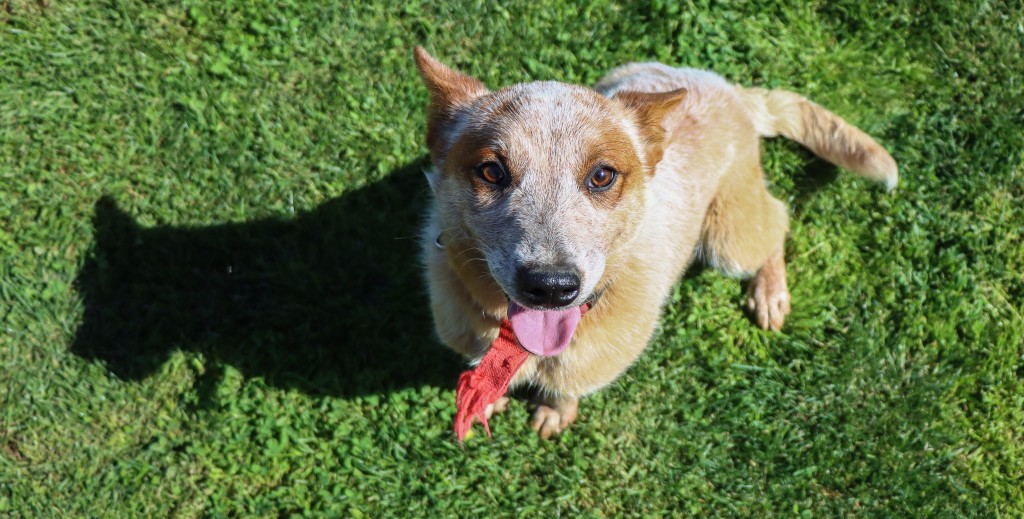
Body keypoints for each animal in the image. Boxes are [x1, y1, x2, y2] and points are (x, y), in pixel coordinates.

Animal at [413, 47, 897, 438]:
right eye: (491, 171)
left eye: (602, 175)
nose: (551, 286)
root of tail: (728, 89)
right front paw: (490, 396)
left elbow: (567, 389)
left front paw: (555, 410)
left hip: (728, 240)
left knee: (776, 220)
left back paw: (770, 292)